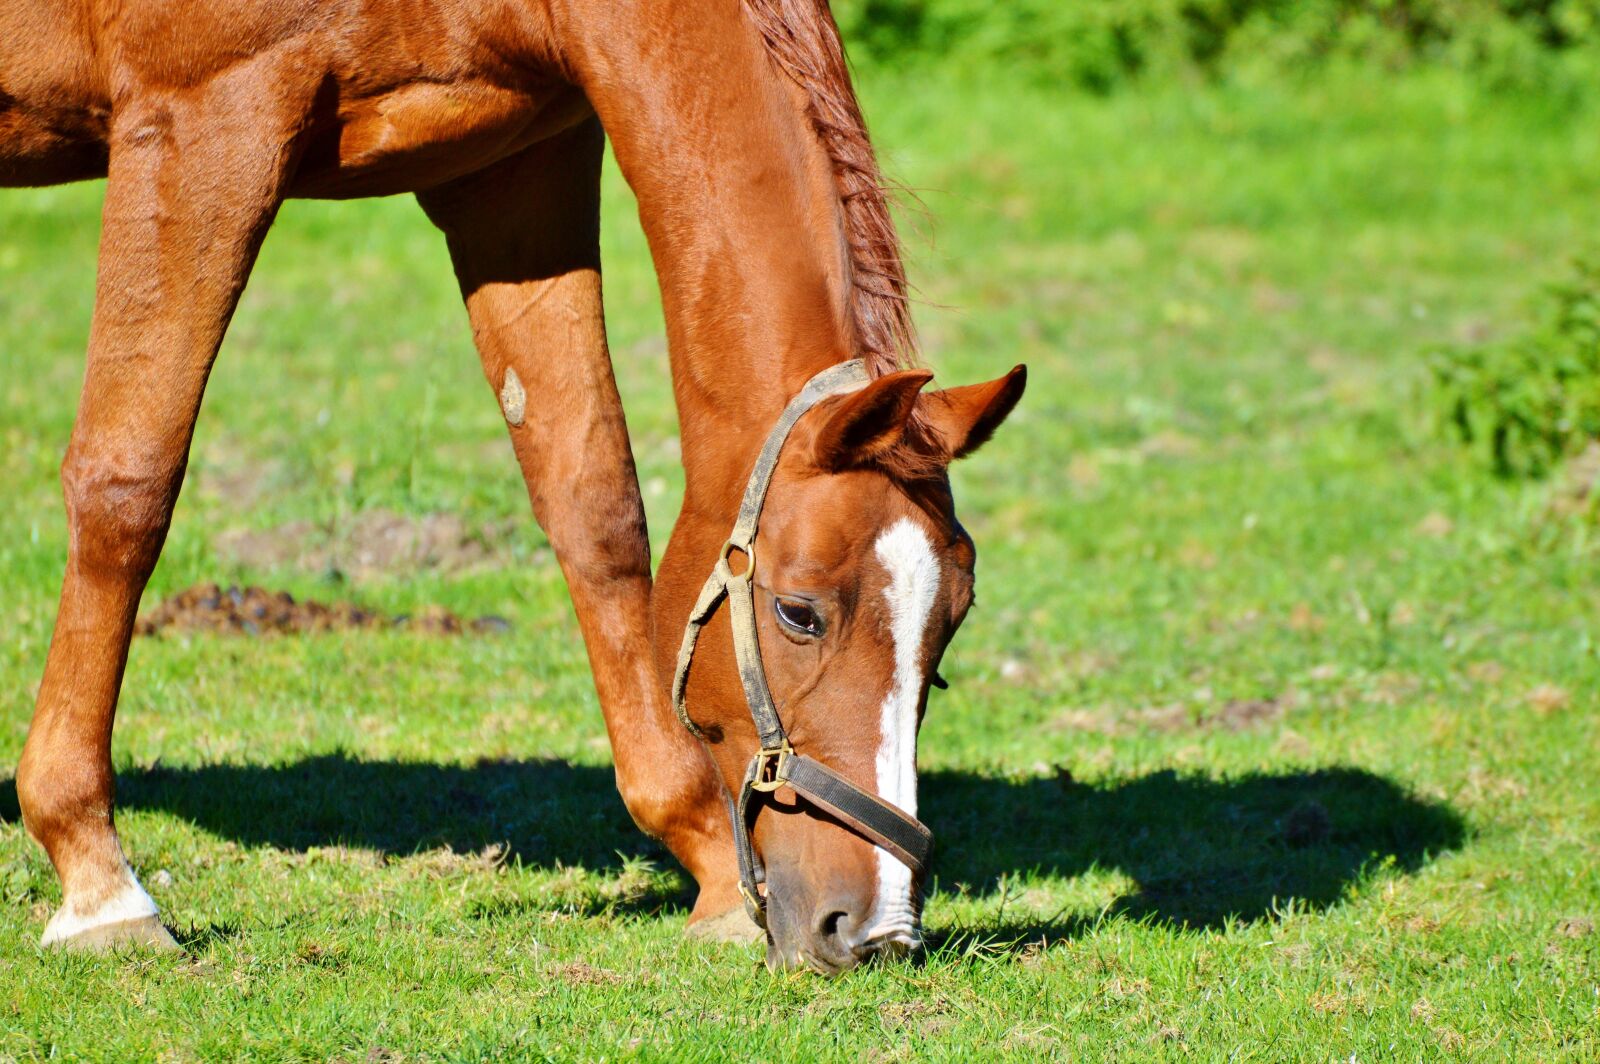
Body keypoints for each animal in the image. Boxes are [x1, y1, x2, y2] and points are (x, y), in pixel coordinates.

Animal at [2, 0, 1025, 973]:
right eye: (799, 613)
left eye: (947, 631)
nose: (877, 930)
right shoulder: (198, 122)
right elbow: (129, 483)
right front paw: (98, 879)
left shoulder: (515, 171)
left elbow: (593, 501)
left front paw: (706, 866)